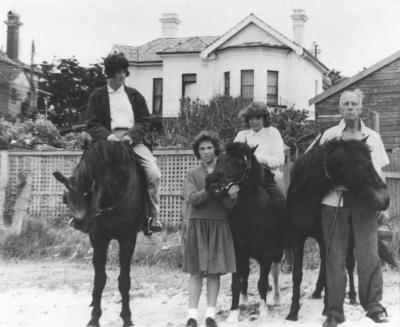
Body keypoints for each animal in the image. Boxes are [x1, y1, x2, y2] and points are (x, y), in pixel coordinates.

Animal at [53, 141, 145, 327]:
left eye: (89, 191)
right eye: (66, 197)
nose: (80, 222)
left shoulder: (128, 239)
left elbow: (124, 280)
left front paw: (127, 317)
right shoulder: (98, 238)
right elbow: (99, 279)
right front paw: (94, 317)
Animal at [206, 143, 288, 322]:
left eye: (238, 163)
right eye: (219, 160)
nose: (211, 181)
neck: (249, 214)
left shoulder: (266, 255)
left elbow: (262, 283)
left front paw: (263, 311)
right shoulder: (237, 252)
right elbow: (236, 283)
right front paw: (233, 313)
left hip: (277, 253)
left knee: (275, 273)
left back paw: (277, 299)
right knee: (246, 273)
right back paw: (244, 301)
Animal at [286, 139, 390, 322]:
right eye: (366, 165)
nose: (386, 199)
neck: (306, 195)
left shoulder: (327, 236)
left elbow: (332, 270)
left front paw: (328, 308)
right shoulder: (297, 238)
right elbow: (297, 275)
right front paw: (293, 312)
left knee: (349, 263)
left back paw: (353, 297)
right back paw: (317, 291)